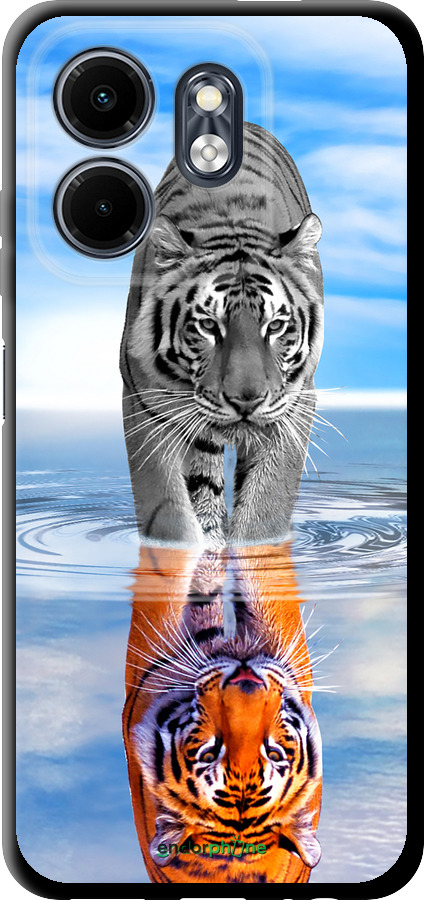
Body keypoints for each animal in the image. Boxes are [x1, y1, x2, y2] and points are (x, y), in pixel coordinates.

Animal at [120, 122, 324, 548]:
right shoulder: (143, 401)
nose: (246, 401)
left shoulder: (295, 404)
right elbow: (167, 510)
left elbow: (266, 508)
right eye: (209, 326)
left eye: (275, 326)